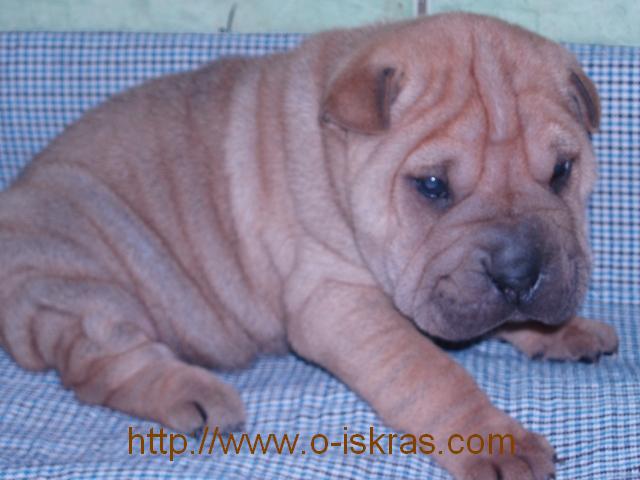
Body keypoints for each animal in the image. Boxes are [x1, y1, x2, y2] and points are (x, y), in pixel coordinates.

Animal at [0, 12, 619, 480]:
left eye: (562, 172)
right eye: (432, 186)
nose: (518, 273)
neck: (333, 162)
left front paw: (562, 331)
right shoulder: (336, 301)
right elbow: (430, 372)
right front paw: (496, 440)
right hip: (81, 273)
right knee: (102, 366)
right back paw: (196, 396)